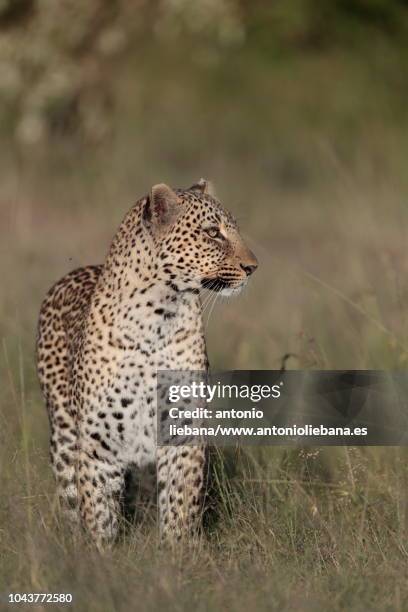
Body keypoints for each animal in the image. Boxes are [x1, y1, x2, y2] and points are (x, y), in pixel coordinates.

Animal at [35, 179, 258, 548]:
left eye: (234, 229)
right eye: (213, 233)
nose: (253, 267)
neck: (158, 315)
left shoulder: (183, 433)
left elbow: (180, 509)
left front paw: (177, 557)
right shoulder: (98, 446)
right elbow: (99, 516)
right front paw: (99, 558)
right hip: (64, 438)